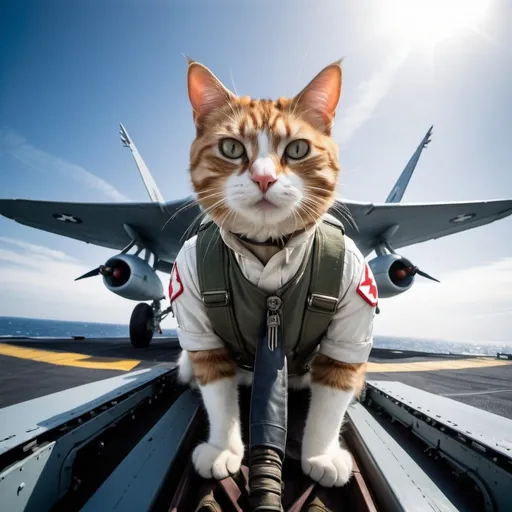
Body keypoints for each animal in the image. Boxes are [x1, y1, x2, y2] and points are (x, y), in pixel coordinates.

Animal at [170, 59, 374, 488]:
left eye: (297, 149)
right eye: (231, 148)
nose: (264, 178)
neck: (267, 249)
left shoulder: (355, 305)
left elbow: (334, 393)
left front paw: (321, 455)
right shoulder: (191, 295)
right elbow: (217, 390)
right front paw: (223, 450)